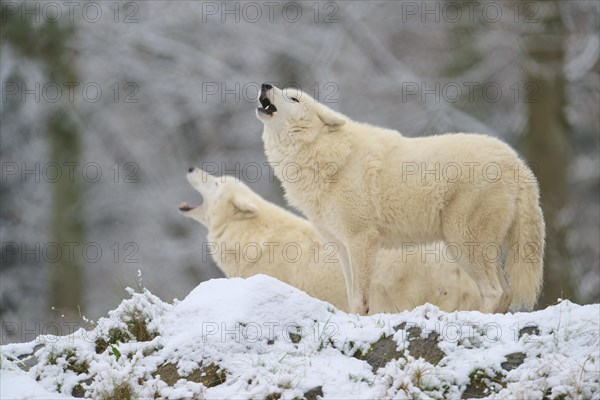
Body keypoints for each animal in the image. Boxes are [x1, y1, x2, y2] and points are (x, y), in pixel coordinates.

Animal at [255, 85, 548, 316]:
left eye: (294, 99)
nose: (264, 85)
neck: (326, 156)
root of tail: (518, 163)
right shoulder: (341, 246)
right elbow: (350, 296)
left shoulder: (362, 240)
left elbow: (360, 298)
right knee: (505, 291)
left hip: (463, 244)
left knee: (494, 291)